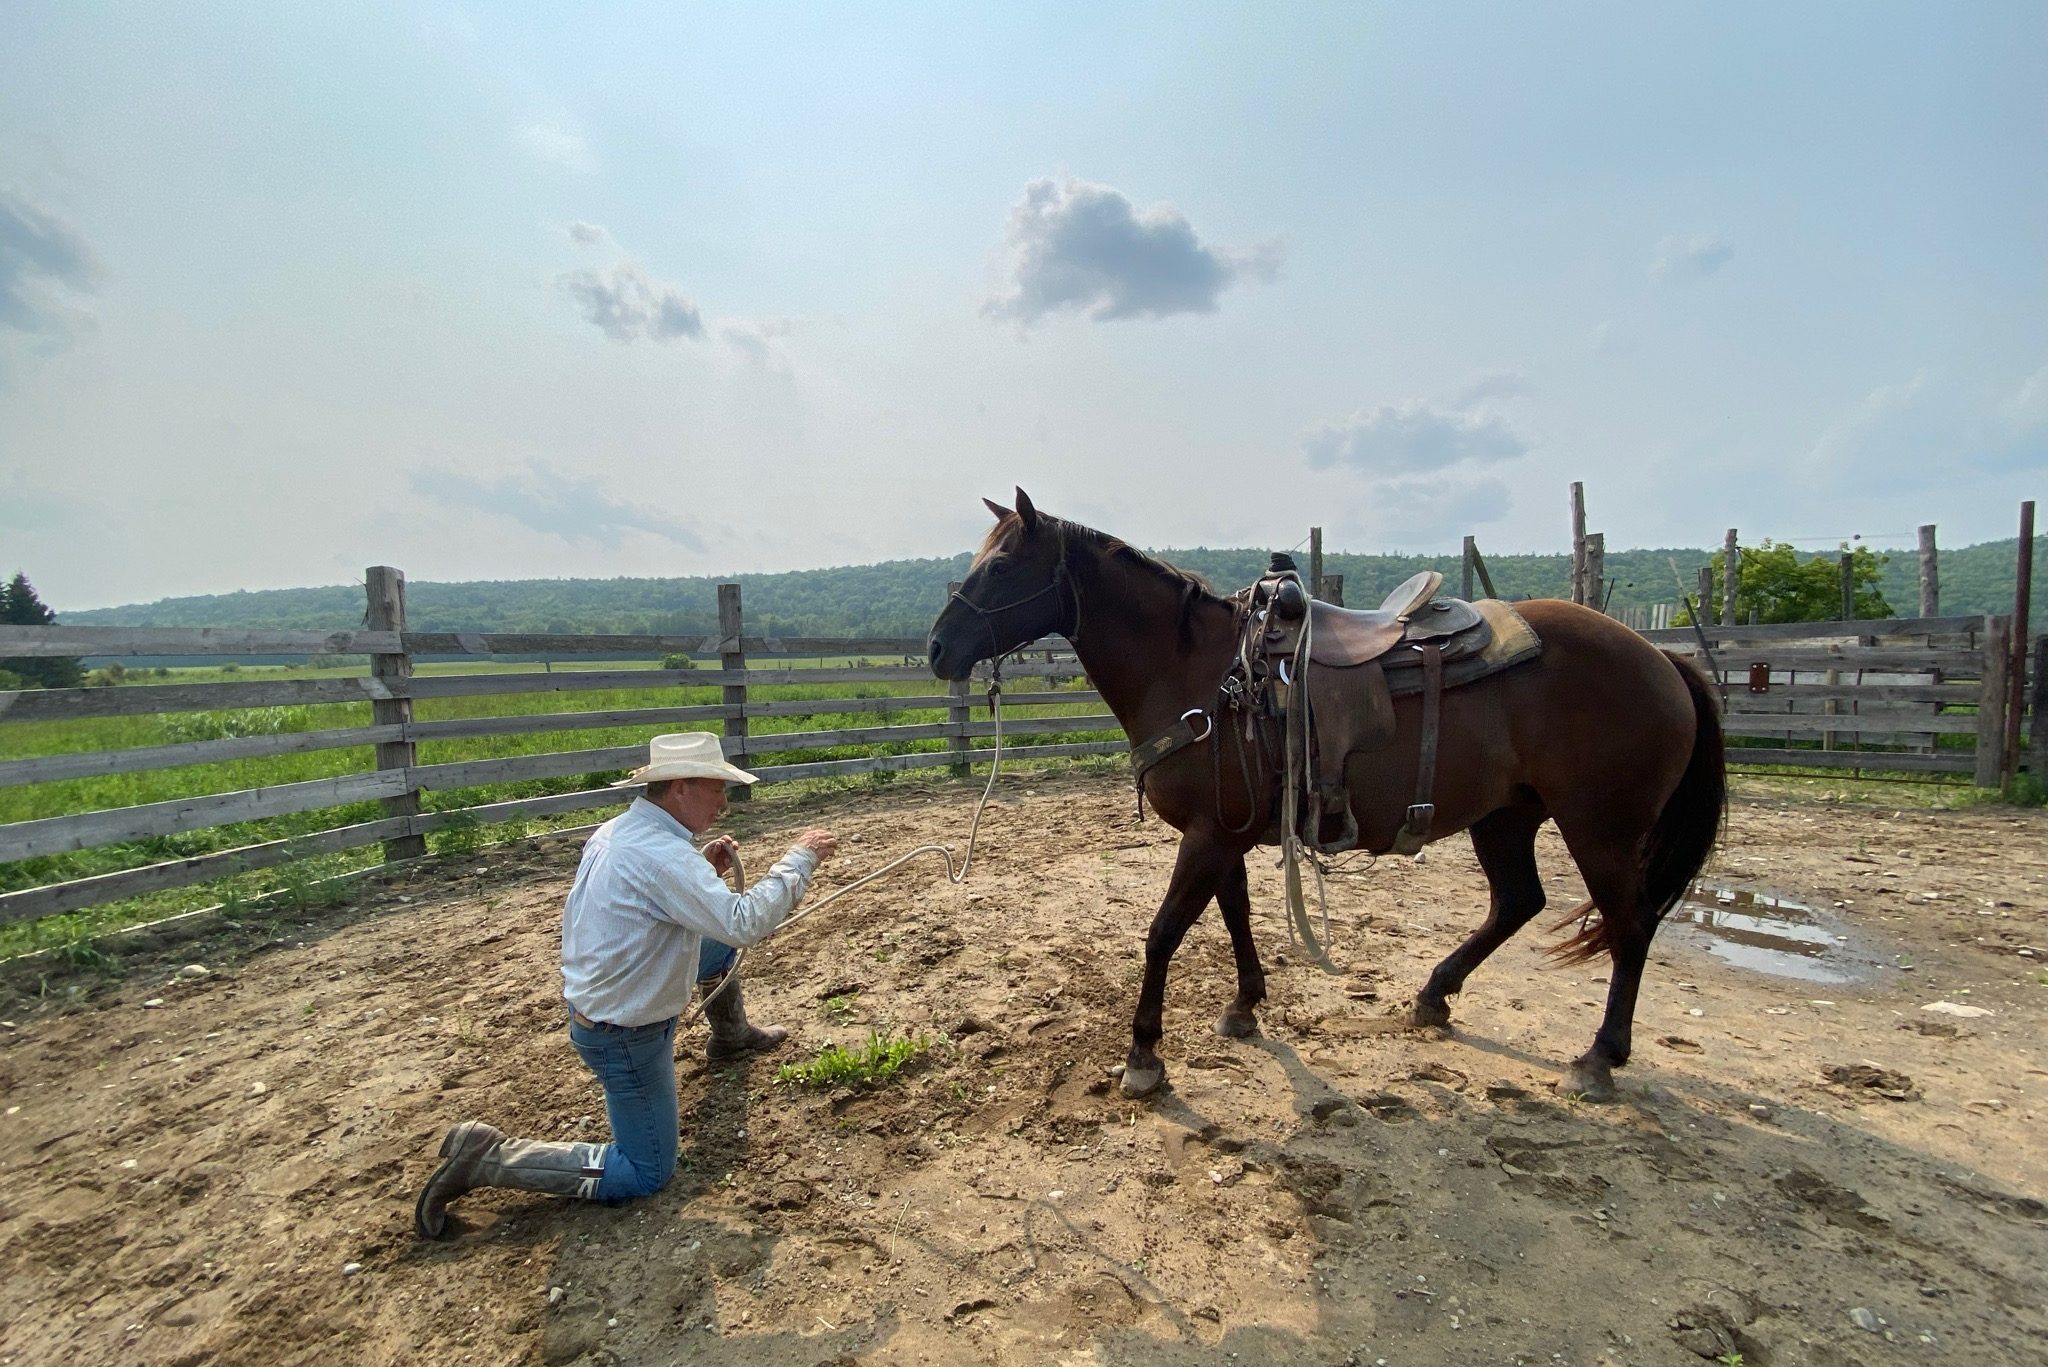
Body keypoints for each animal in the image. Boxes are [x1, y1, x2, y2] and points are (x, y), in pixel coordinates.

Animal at [933, 491, 1728, 1098]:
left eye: (1000, 565)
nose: (939, 648)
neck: (1198, 671)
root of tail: (1664, 658)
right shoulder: (1225, 832)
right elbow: (1236, 916)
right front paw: (1245, 1007)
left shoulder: (1209, 835)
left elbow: (1164, 932)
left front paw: (1144, 1056)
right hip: (1506, 815)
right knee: (1517, 902)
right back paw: (1434, 995)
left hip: (1601, 828)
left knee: (1629, 925)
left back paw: (1599, 1057)